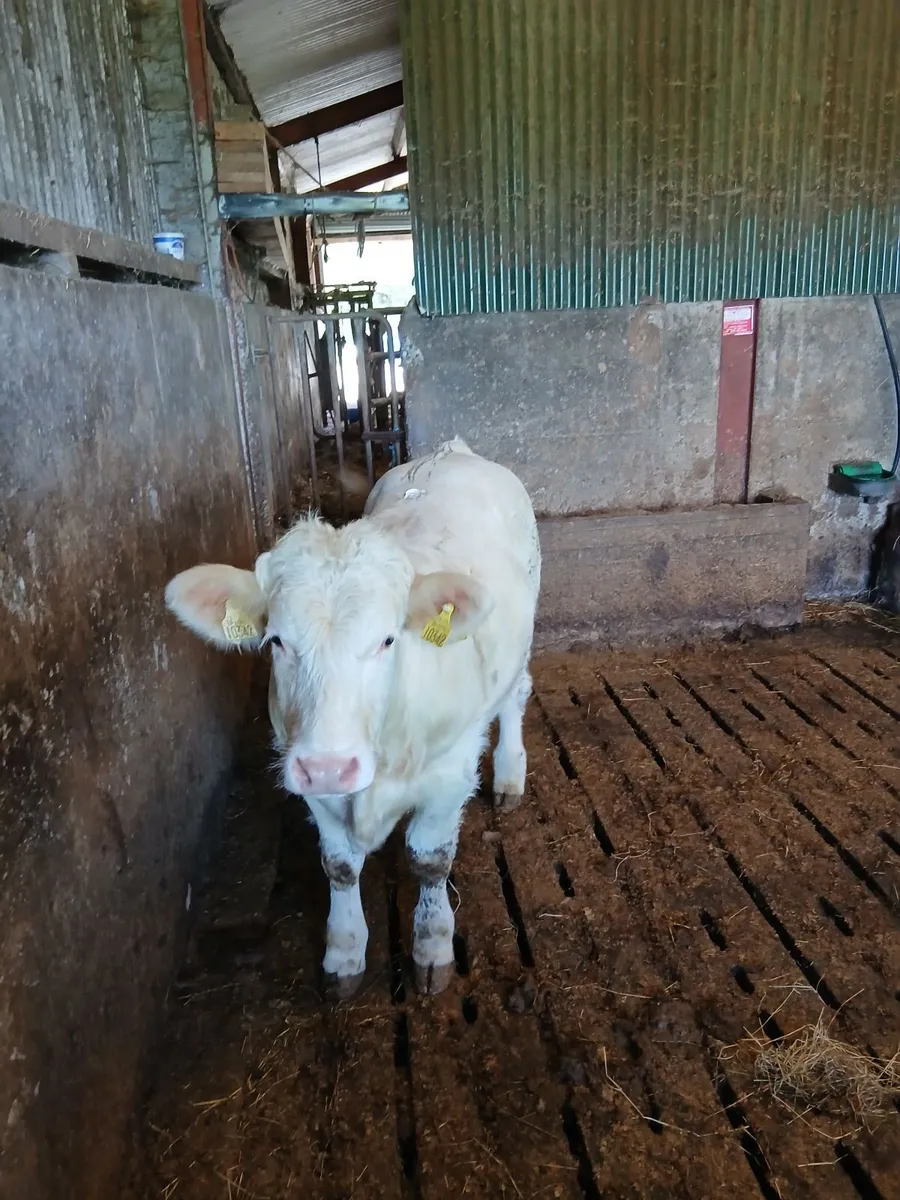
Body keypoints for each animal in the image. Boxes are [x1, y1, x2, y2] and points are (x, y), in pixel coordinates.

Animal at [165, 439, 541, 999]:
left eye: (387, 639)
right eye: (276, 640)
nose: (329, 765)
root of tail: (455, 451)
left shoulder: (448, 775)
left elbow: (430, 860)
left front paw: (433, 944)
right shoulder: (313, 784)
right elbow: (340, 867)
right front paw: (344, 952)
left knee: (515, 697)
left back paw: (511, 774)